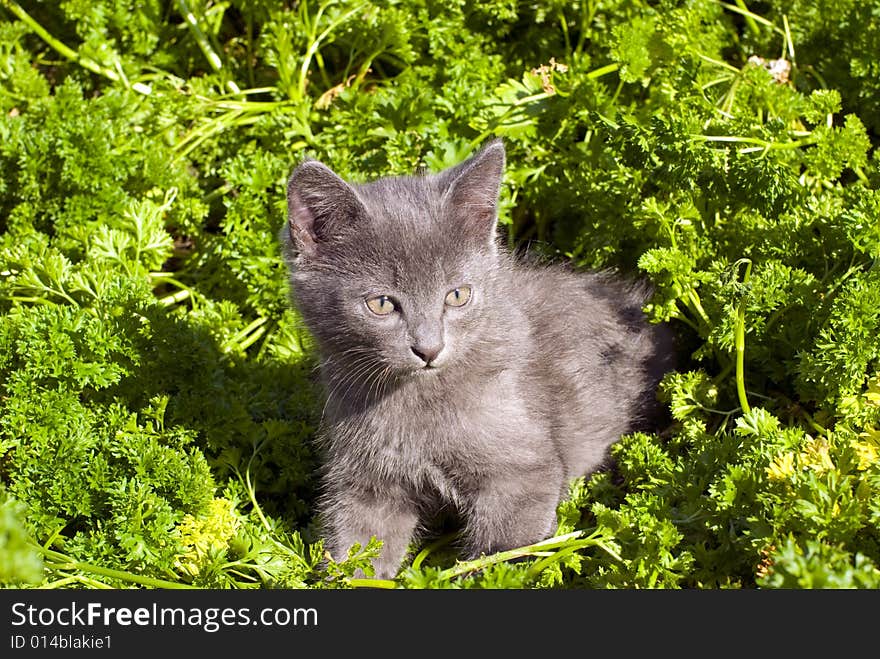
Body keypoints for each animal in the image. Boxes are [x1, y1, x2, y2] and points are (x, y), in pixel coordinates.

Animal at [282, 142, 672, 580]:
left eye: (457, 295)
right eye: (381, 304)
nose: (429, 349)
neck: (417, 404)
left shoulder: (523, 474)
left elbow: (500, 553)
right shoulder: (364, 481)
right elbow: (357, 549)